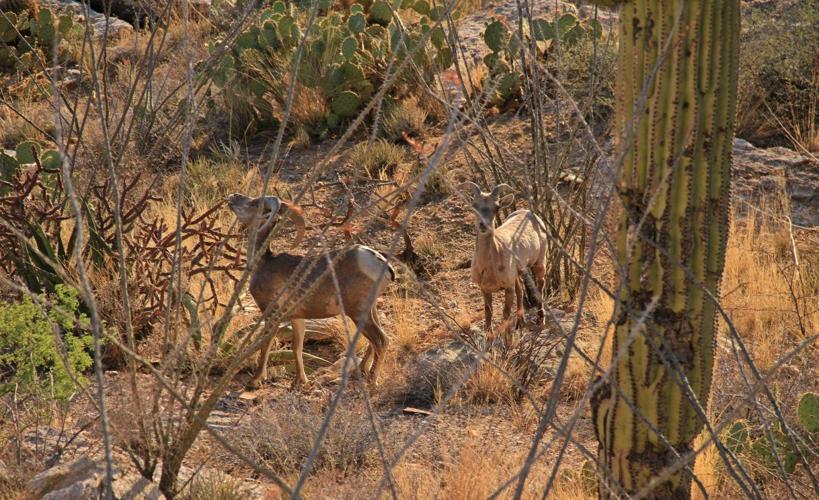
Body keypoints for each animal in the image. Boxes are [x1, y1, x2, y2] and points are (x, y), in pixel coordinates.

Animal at [227, 193, 394, 389]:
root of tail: (380, 262)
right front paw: (299, 382)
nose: (233, 197)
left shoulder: (271, 313)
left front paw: (255, 381)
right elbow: (297, 347)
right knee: (375, 340)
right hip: (370, 310)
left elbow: (265, 344)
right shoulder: (297, 318)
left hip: (358, 312)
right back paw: (360, 372)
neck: (263, 262)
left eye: (254, 204)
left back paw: (371, 382)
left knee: (381, 340)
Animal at [457, 182, 548, 345]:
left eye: (497, 207)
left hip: (540, 262)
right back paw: (520, 323)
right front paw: (489, 339)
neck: (489, 267)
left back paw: (540, 320)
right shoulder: (485, 289)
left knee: (540, 285)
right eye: (474, 205)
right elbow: (488, 312)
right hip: (519, 272)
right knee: (521, 289)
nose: (483, 225)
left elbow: (505, 313)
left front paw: (508, 342)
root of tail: (530, 214)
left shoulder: (508, 287)